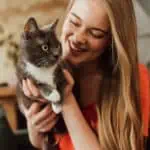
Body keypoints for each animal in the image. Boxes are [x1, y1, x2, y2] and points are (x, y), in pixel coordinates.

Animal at [16, 17, 69, 149]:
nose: (56, 55)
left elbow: (61, 85)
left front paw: (57, 105)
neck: (44, 68)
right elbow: (39, 84)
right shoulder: (23, 80)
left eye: (58, 45)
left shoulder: (61, 73)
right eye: (45, 47)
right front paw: (53, 95)